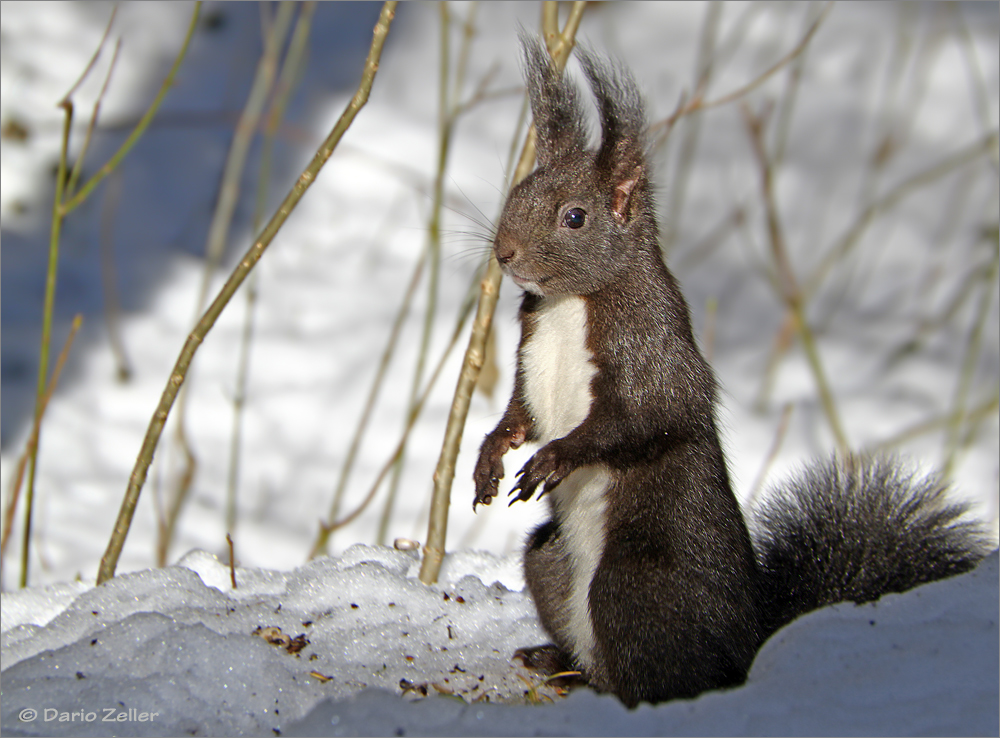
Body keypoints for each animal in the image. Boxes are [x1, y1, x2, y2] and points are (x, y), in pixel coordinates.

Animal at [470, 37, 992, 704]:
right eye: (519, 192)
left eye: (575, 217)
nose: (504, 253)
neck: (570, 302)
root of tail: (744, 650)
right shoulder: (532, 359)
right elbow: (522, 415)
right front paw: (490, 455)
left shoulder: (651, 350)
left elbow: (638, 420)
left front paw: (555, 458)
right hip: (550, 557)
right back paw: (558, 662)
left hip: (634, 585)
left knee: (660, 672)